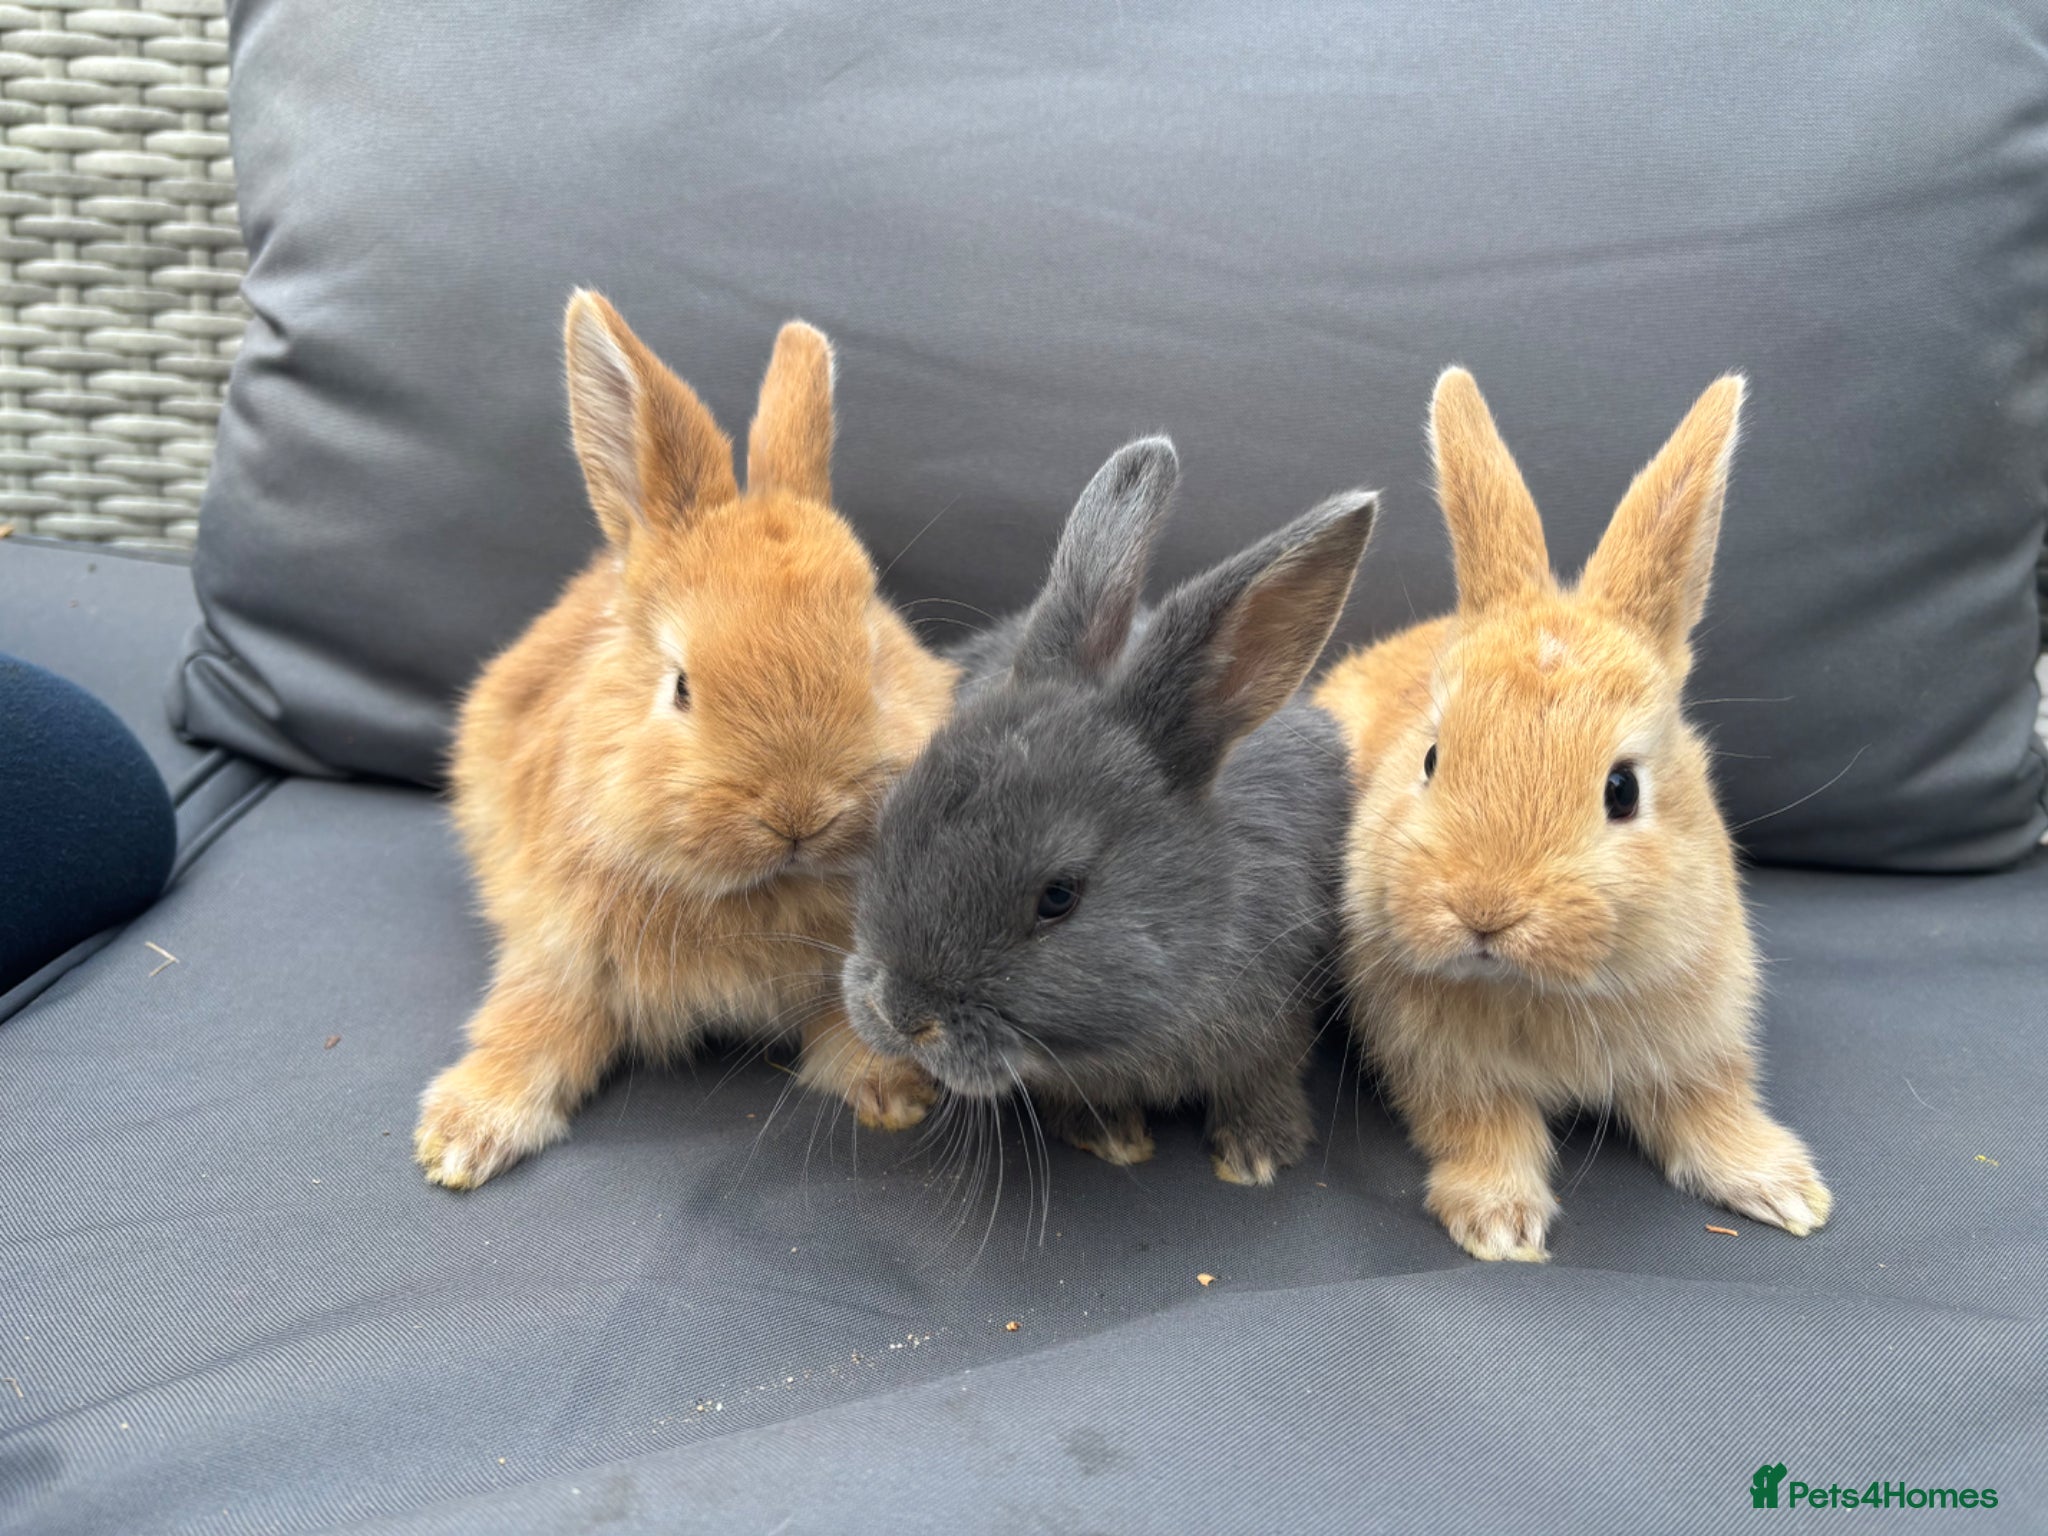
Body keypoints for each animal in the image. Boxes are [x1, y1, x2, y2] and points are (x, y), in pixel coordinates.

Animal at [414, 292, 959, 1189]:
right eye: (680, 686)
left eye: (878, 661)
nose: (799, 813)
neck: (752, 892)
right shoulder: (559, 946)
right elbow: (534, 1021)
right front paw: (463, 1136)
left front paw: (893, 1093)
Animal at [841, 438, 1378, 1185]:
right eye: (892, 819)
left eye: (1059, 896)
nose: (900, 1015)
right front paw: (1109, 1136)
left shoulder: (1280, 1012)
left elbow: (1263, 1076)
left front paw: (1258, 1152)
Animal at [1315, 367, 1832, 1260]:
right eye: (1431, 758)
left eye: (1622, 789)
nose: (1483, 910)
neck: (1546, 990)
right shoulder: (1445, 1070)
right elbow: (1483, 1131)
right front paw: (1501, 1226)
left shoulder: (1696, 1040)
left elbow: (1711, 1107)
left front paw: (1784, 1191)